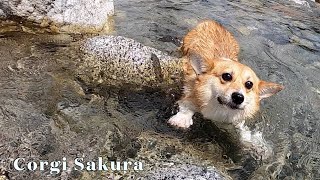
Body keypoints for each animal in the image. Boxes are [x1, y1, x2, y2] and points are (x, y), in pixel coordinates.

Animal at [169, 20, 284, 159]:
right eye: (227, 76)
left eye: (249, 84)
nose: (239, 97)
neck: (220, 109)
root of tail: (212, 21)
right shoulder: (189, 94)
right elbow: (187, 106)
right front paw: (182, 119)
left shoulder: (235, 119)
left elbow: (243, 130)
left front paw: (256, 144)